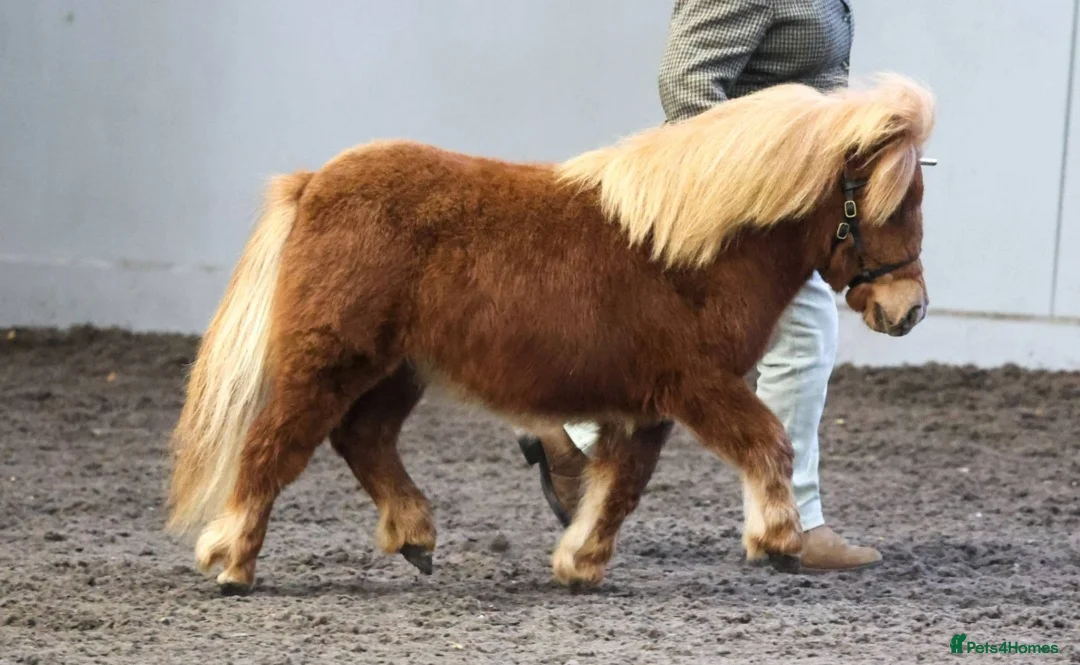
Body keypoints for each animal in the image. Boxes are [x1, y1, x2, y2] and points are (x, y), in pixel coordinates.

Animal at [167, 73, 936, 594]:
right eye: (895, 204)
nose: (910, 310)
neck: (689, 254)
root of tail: (312, 184)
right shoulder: (698, 386)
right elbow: (767, 443)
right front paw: (775, 540)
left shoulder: (645, 405)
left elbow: (620, 485)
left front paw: (579, 562)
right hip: (331, 360)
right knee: (273, 446)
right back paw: (232, 560)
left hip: (396, 369)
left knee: (364, 438)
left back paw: (415, 536)